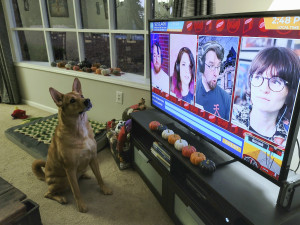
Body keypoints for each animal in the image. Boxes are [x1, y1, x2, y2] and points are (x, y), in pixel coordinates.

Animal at [31, 78, 112, 213]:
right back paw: (60, 198)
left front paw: (104, 189)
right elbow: (76, 190)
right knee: (48, 194)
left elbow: (99, 177)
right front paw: (81, 206)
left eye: (82, 96)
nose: (87, 100)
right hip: (62, 180)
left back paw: (84, 175)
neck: (80, 127)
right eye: (72, 100)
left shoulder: (93, 158)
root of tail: (46, 178)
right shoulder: (70, 168)